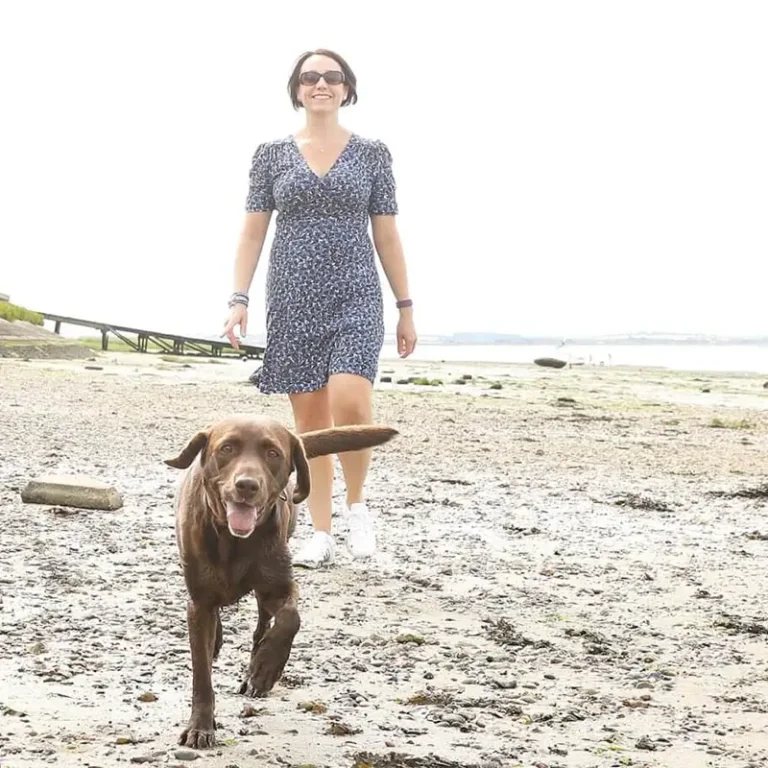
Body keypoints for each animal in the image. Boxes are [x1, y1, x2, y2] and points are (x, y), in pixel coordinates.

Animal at [166, 416, 400, 748]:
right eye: (227, 448)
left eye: (273, 453)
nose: (247, 485)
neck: (234, 541)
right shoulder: (199, 601)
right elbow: (202, 674)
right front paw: (201, 726)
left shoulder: (278, 587)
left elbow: (291, 618)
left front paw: (265, 669)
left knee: (262, 626)